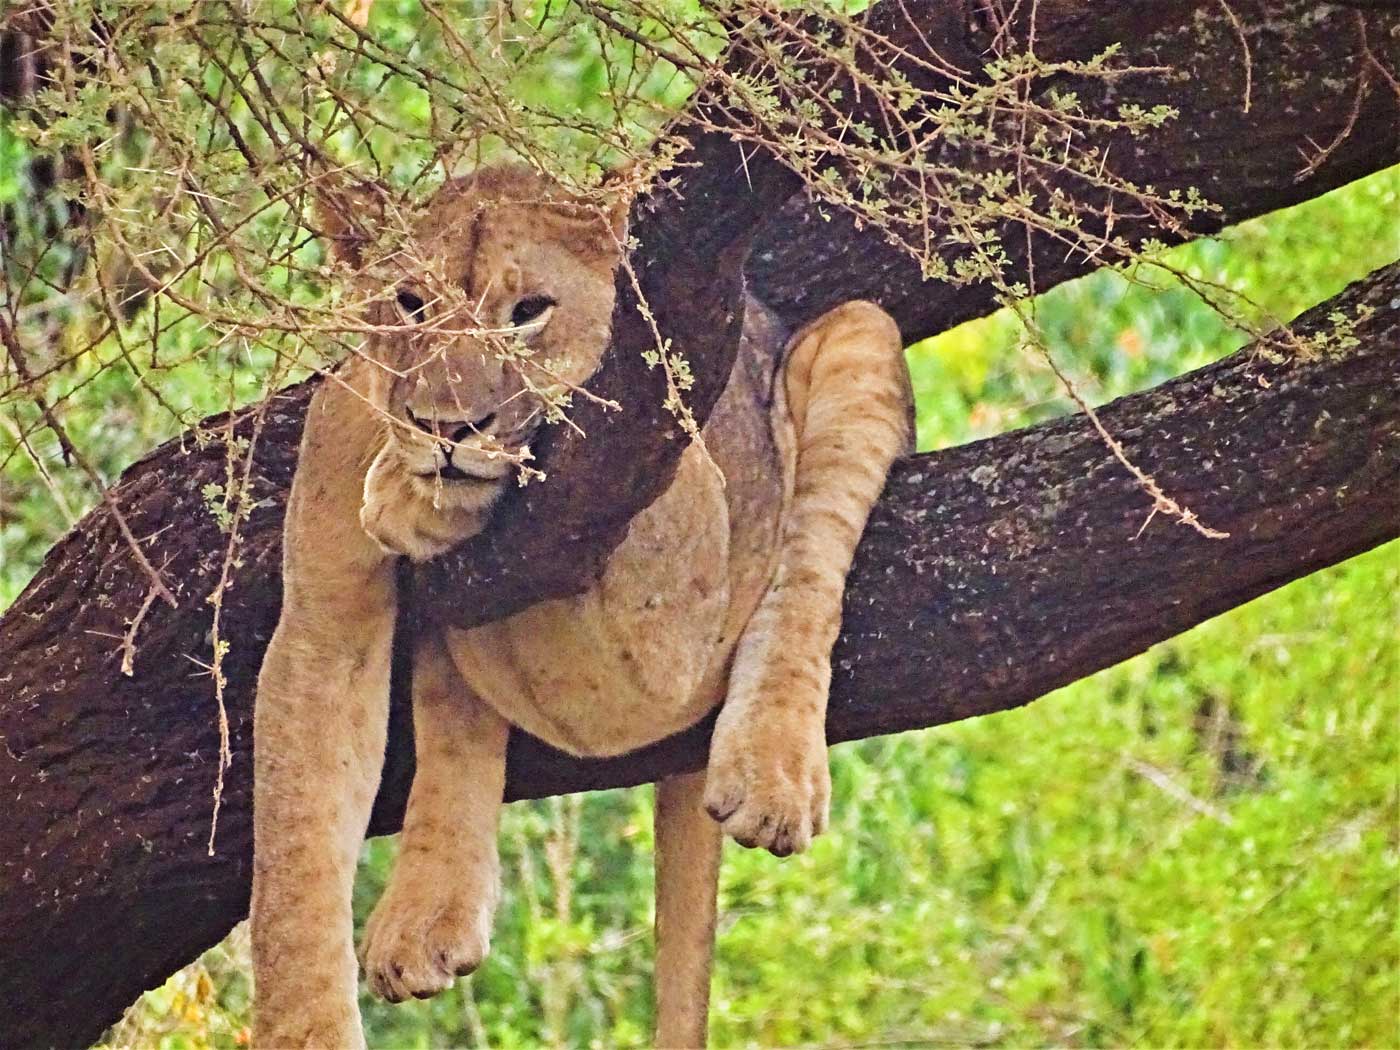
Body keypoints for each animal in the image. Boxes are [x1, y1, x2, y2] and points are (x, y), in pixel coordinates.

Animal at [250, 162, 907, 1047]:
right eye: (411, 304)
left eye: (529, 311)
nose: (449, 427)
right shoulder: (323, 626)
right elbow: (292, 873)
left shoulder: (673, 606)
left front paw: (417, 491)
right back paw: (427, 913)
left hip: (857, 335)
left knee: (810, 560)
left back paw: (772, 774)